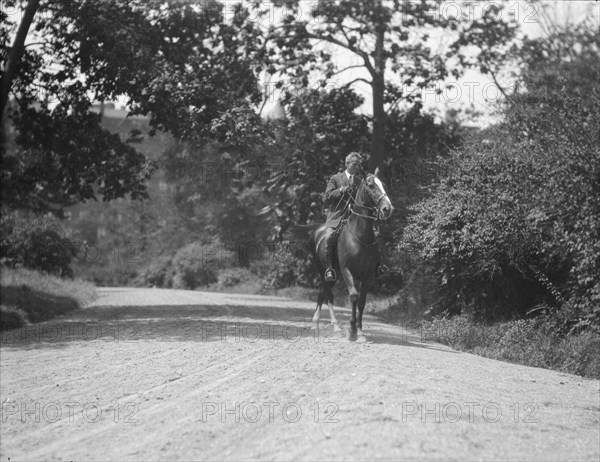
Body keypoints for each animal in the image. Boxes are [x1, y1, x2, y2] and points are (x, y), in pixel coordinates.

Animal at [296, 168, 394, 342]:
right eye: (371, 186)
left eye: (383, 184)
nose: (387, 209)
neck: (360, 236)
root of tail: (318, 231)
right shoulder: (347, 270)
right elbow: (354, 296)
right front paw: (351, 330)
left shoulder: (368, 275)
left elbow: (362, 301)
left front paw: (360, 332)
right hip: (324, 271)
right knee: (328, 295)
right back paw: (335, 327)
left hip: (333, 275)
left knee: (322, 293)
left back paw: (317, 324)